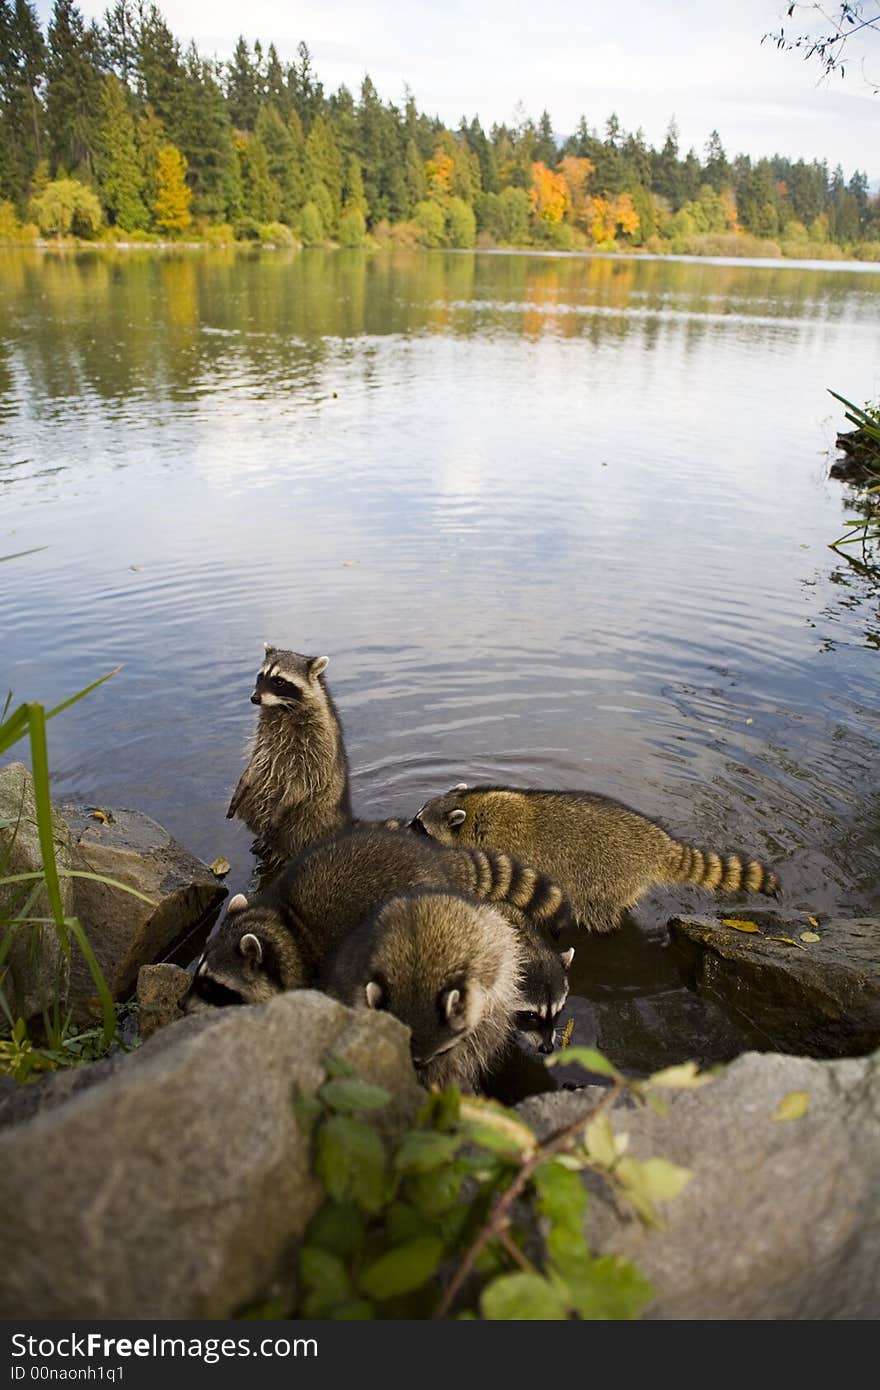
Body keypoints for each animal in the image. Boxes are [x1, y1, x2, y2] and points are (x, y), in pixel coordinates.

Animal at [225, 642, 351, 861]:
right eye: (261, 676)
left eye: (279, 681)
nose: (254, 698)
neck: (282, 707)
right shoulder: (265, 739)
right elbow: (257, 761)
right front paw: (243, 781)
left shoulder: (317, 743)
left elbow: (304, 781)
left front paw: (283, 806)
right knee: (252, 798)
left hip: (315, 817)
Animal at [408, 783, 778, 934]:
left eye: (420, 825)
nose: (403, 829)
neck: (471, 809)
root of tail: (659, 845)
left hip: (603, 876)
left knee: (595, 909)